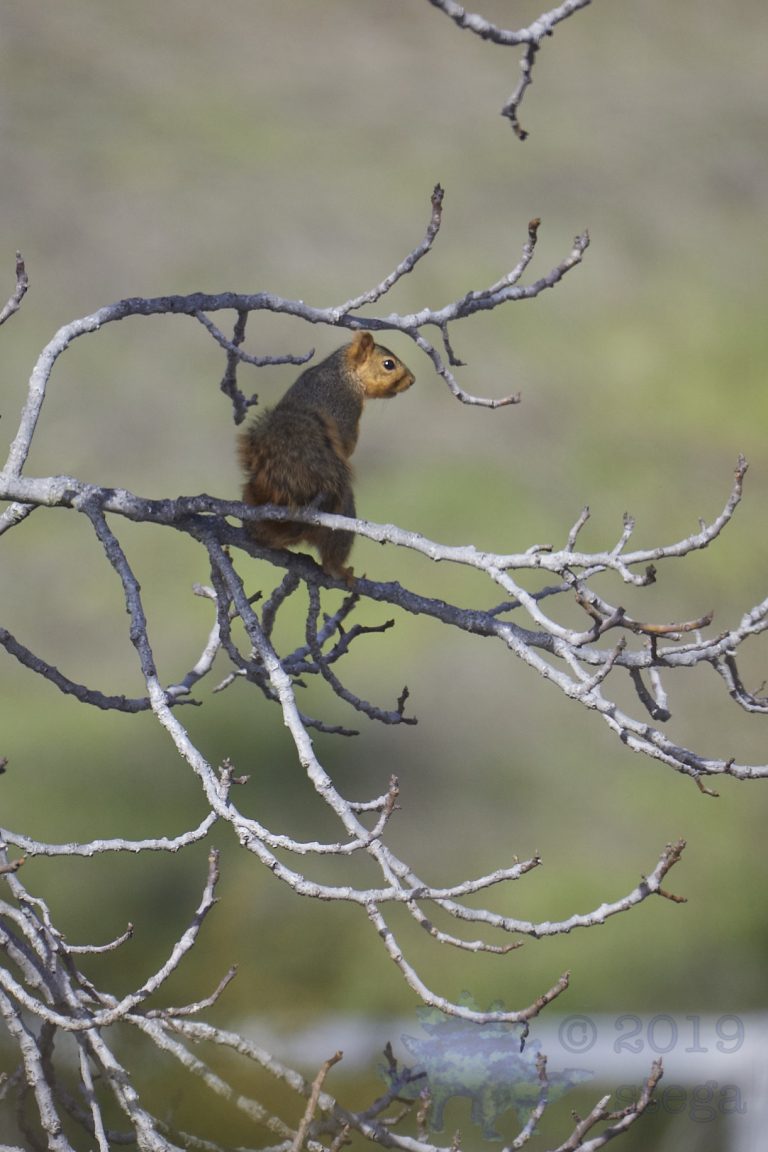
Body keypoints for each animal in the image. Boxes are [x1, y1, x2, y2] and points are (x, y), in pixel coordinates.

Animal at [238, 331, 415, 582]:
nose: (412, 380)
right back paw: (339, 570)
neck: (343, 373)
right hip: (342, 516)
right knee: (332, 556)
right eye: (388, 364)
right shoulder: (346, 409)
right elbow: (347, 443)